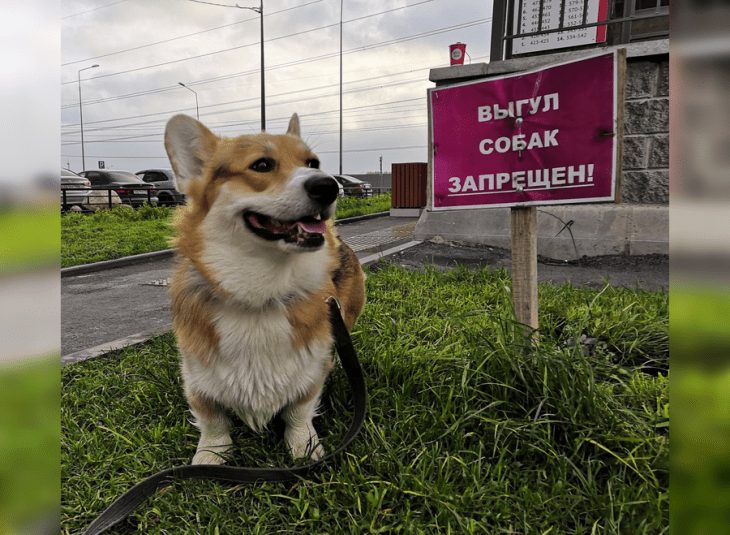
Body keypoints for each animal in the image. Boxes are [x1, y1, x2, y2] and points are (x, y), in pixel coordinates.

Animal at [164, 113, 364, 464]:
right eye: (261, 165)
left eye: (312, 162)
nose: (329, 185)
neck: (261, 295)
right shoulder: (197, 378)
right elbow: (212, 421)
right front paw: (210, 457)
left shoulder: (309, 375)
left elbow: (299, 412)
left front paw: (304, 448)